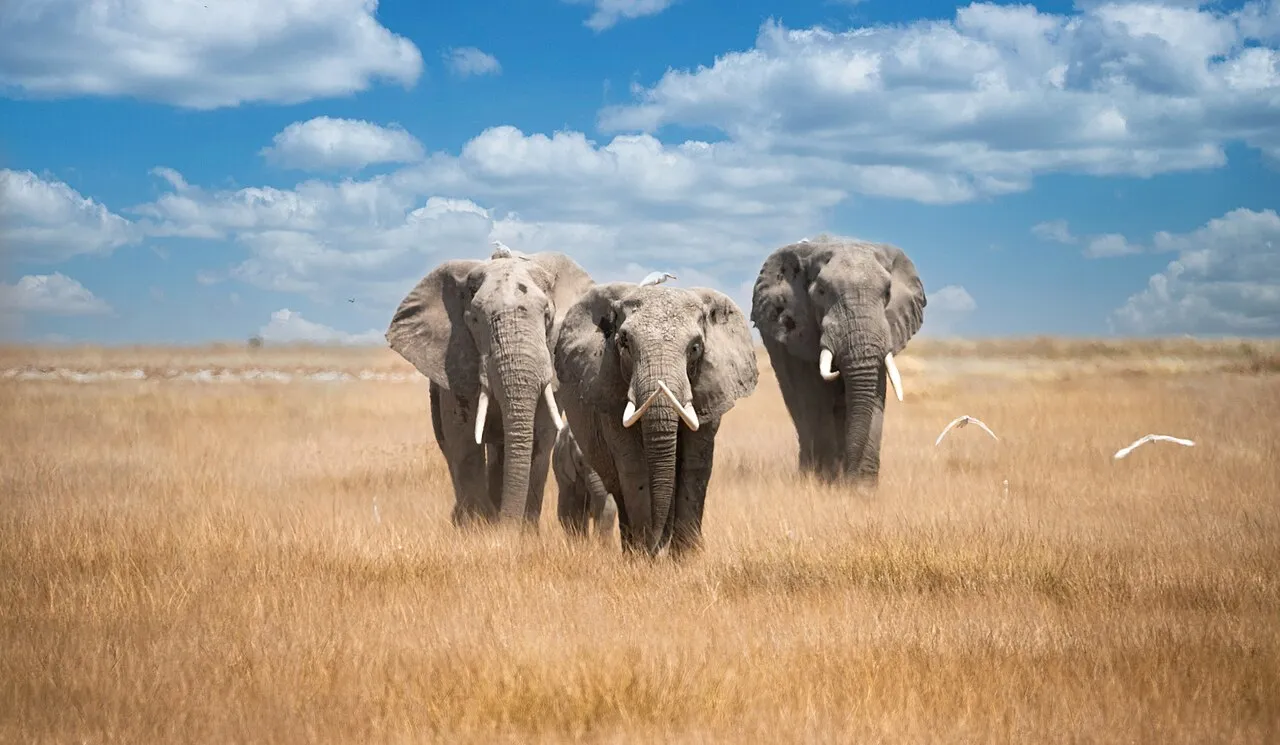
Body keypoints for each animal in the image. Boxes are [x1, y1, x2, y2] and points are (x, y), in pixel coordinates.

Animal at [386, 250, 595, 527]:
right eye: (474, 320)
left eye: (547, 317)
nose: (505, 522)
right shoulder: (456, 363)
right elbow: (464, 442)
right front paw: (479, 528)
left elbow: (539, 440)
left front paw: (520, 531)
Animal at [554, 281, 758, 557]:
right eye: (624, 343)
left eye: (695, 348)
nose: (658, 543)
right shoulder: (609, 390)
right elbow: (634, 465)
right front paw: (646, 557)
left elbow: (695, 465)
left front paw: (686, 558)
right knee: (617, 489)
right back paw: (633, 551)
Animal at [750, 235, 926, 487]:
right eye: (822, 291)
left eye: (887, 293)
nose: (848, 479)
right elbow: (815, 397)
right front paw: (825, 483)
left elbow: (874, 394)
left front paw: (861, 490)